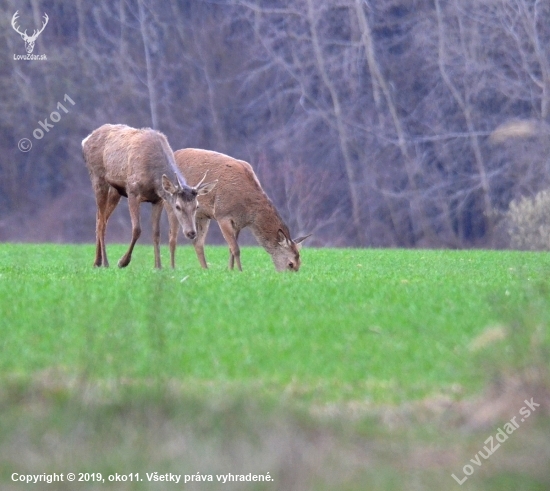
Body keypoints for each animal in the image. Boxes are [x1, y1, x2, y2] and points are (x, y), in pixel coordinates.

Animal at [83, 124, 217, 270]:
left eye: (196, 206)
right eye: (177, 206)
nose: (191, 232)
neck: (153, 178)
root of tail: (86, 140)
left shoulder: (158, 199)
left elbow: (156, 233)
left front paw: (158, 266)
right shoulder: (132, 191)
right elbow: (137, 229)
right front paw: (123, 262)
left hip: (115, 190)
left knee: (100, 219)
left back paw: (97, 262)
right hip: (97, 178)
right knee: (101, 222)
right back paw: (105, 263)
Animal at [172, 150, 310, 272]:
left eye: (300, 263)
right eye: (290, 264)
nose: (289, 276)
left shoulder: (238, 222)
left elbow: (231, 248)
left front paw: (230, 269)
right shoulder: (222, 215)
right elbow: (236, 248)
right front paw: (239, 270)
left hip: (202, 216)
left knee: (197, 242)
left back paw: (205, 269)